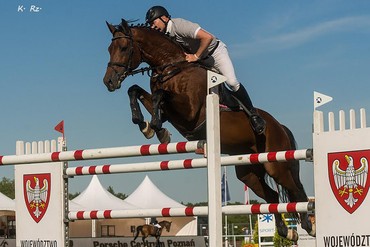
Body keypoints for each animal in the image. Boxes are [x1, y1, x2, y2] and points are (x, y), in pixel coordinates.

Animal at [103, 19, 316, 241]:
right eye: (110, 49)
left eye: (124, 48)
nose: (109, 81)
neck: (171, 67)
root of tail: (279, 126)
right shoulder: (171, 112)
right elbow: (136, 91)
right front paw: (147, 126)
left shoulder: (189, 111)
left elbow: (159, 95)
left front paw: (154, 125)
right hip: (249, 171)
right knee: (273, 195)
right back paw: (285, 231)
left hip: (275, 164)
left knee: (296, 191)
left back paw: (308, 226)